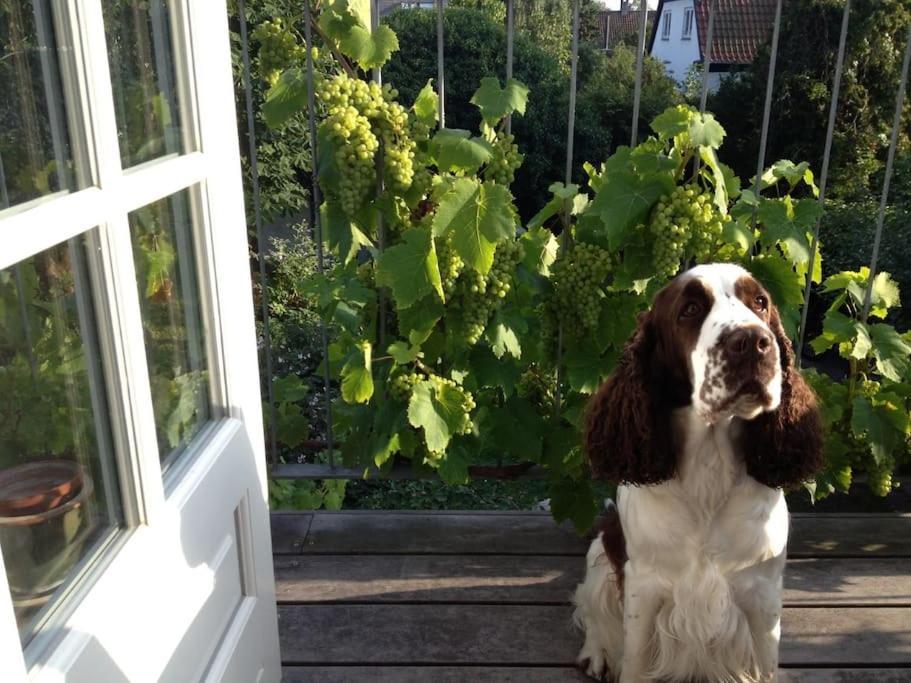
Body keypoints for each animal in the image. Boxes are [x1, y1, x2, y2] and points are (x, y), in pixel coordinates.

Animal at [572, 264, 824, 683]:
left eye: (760, 302)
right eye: (690, 309)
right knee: (590, 609)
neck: (711, 466)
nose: (753, 342)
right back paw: (597, 655)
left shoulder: (762, 593)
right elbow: (634, 661)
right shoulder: (645, 587)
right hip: (600, 554)